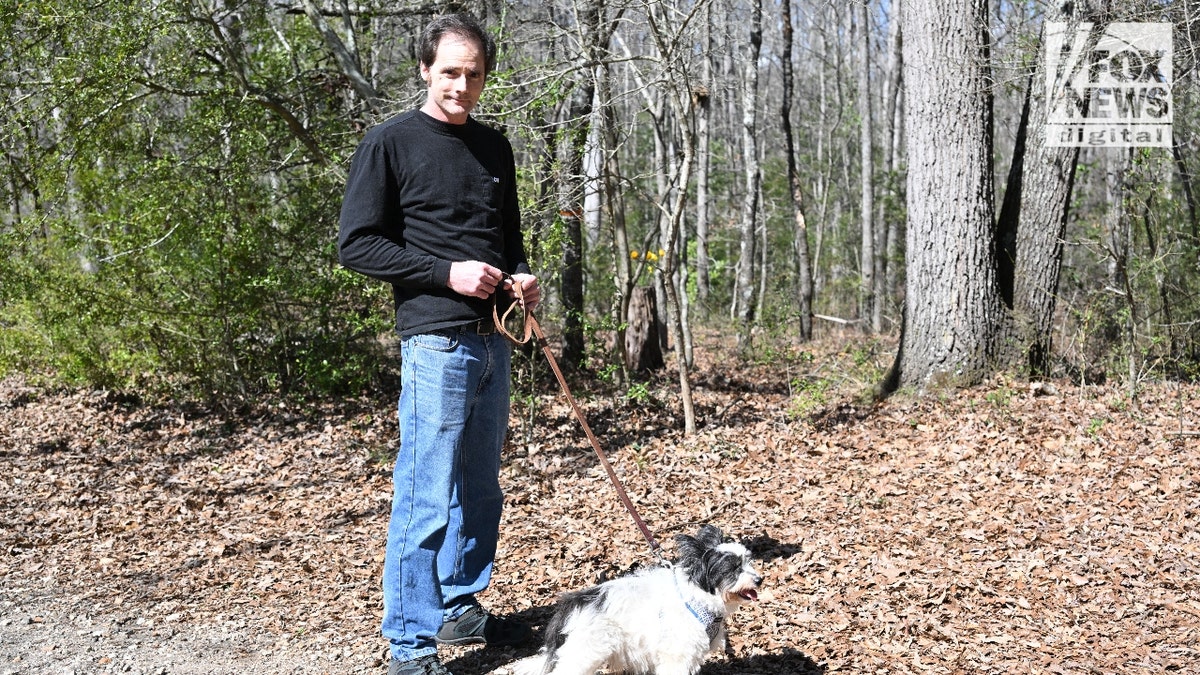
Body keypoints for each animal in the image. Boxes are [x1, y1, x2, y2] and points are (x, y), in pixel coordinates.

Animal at [513, 526, 758, 672]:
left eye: (748, 561)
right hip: (585, 653)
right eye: (733, 569)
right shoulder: (677, 655)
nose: (759, 579)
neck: (696, 596)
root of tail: (573, 604)